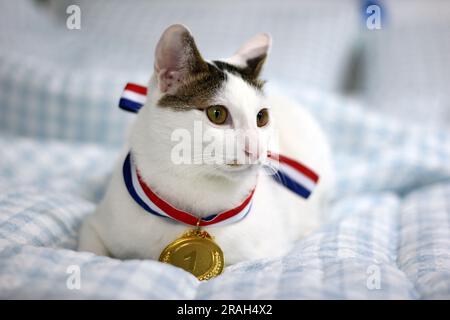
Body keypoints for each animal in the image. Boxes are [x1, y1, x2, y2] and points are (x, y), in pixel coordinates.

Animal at [78, 24, 334, 264]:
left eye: (261, 117)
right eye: (217, 114)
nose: (256, 149)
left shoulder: (270, 250)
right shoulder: (95, 225)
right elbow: (89, 254)